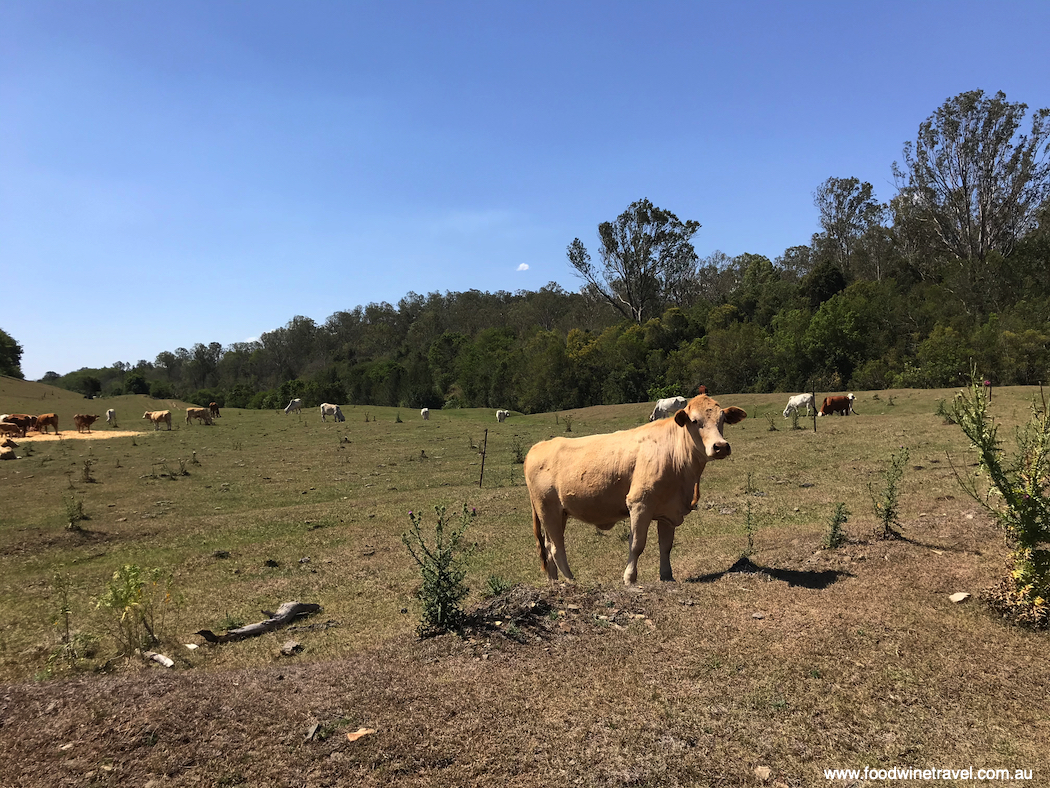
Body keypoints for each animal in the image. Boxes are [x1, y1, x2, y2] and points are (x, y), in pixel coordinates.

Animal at [525, 392, 747, 588]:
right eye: (694, 421)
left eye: (722, 419)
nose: (720, 446)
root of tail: (538, 446)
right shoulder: (640, 504)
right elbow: (637, 544)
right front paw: (630, 578)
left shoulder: (668, 511)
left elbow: (666, 546)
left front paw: (667, 576)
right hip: (548, 510)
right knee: (556, 548)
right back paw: (571, 580)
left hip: (558, 513)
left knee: (548, 547)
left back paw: (554, 581)